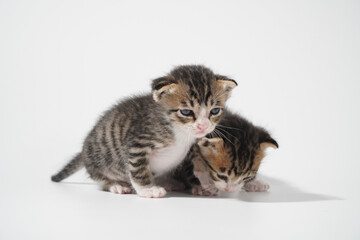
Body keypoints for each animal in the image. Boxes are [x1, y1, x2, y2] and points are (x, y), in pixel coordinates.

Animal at [50, 64, 236, 198]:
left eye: (215, 111)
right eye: (186, 112)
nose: (203, 126)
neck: (180, 132)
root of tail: (83, 151)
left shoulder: (194, 145)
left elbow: (198, 165)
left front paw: (204, 184)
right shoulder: (138, 144)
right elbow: (138, 169)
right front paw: (147, 189)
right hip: (97, 161)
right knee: (100, 179)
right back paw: (116, 185)